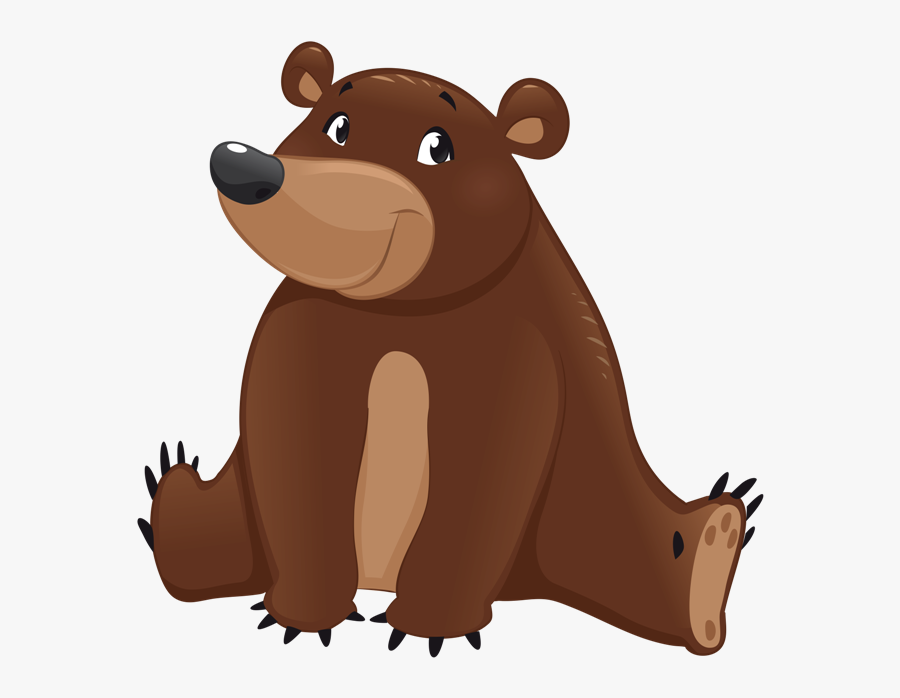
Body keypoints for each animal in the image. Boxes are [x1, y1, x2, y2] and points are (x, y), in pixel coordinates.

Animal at [137, 41, 764, 657]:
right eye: (335, 126)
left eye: (437, 147)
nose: (242, 165)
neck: (398, 313)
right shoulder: (299, 333)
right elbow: (298, 456)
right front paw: (303, 618)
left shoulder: (513, 352)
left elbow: (482, 479)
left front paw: (429, 627)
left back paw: (713, 549)